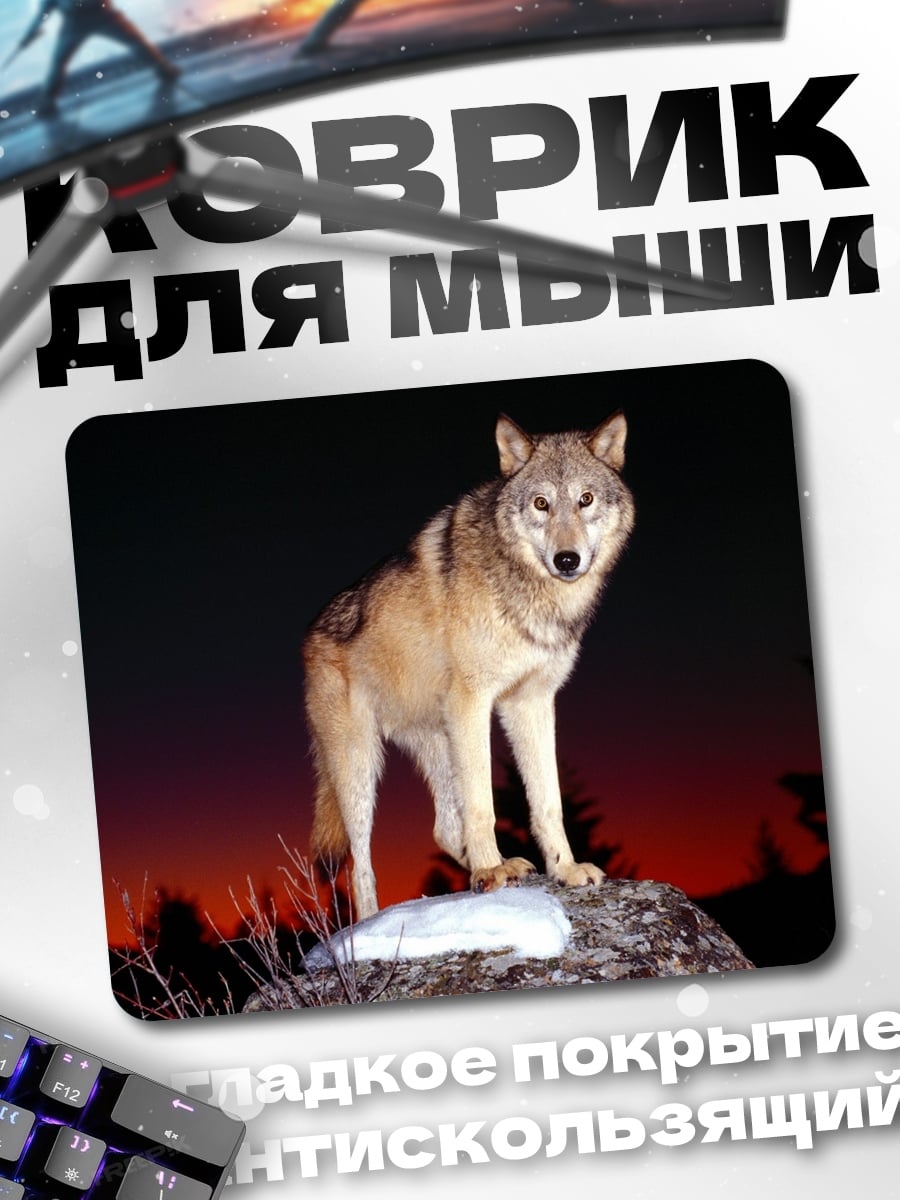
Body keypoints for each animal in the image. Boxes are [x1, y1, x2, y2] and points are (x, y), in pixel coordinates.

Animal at [303, 411, 635, 920]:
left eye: (586, 499)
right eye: (541, 503)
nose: (567, 560)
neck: (529, 592)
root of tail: (311, 634)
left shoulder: (532, 702)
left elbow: (548, 801)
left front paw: (564, 869)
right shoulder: (474, 700)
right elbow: (483, 803)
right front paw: (489, 870)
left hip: (441, 740)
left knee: (442, 828)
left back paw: (499, 868)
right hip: (360, 764)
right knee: (360, 864)